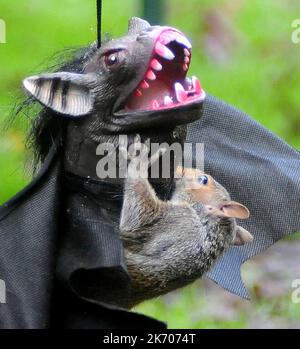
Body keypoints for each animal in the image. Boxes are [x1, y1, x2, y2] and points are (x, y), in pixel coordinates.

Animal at [117, 137, 253, 308]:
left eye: (203, 180)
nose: (179, 167)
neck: (205, 225)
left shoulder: (178, 221)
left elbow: (137, 216)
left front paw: (138, 162)